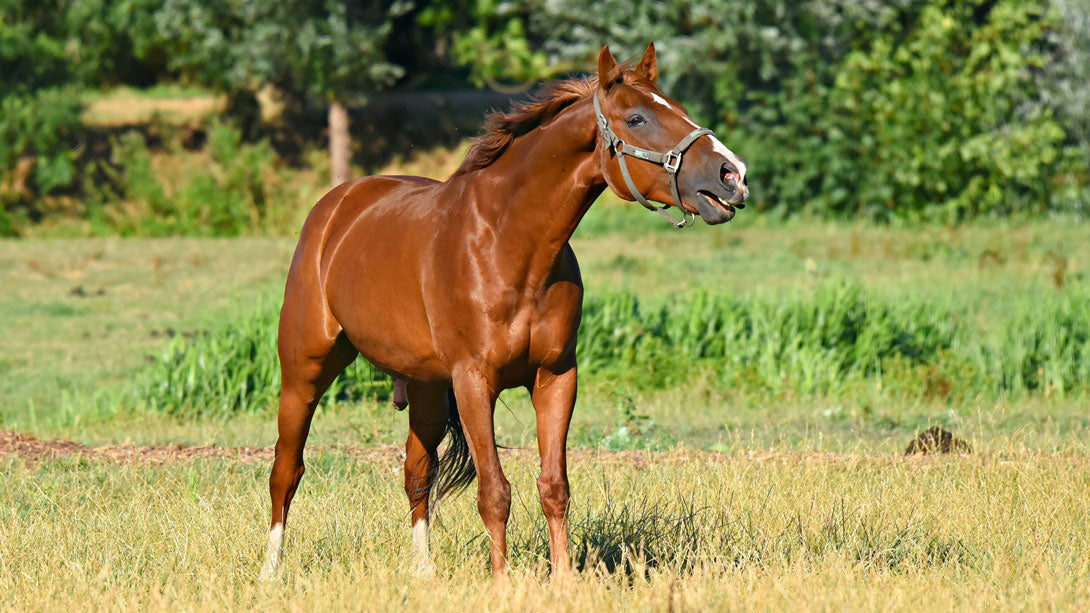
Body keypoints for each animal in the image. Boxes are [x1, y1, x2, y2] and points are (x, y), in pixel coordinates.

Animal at [259, 43, 749, 581]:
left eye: (679, 107)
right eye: (637, 118)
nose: (732, 175)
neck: (509, 244)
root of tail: (337, 205)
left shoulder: (556, 376)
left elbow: (554, 487)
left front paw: (564, 580)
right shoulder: (475, 381)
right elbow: (494, 493)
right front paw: (502, 583)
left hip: (426, 388)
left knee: (416, 473)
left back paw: (423, 573)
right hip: (305, 369)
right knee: (287, 469)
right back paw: (269, 573)